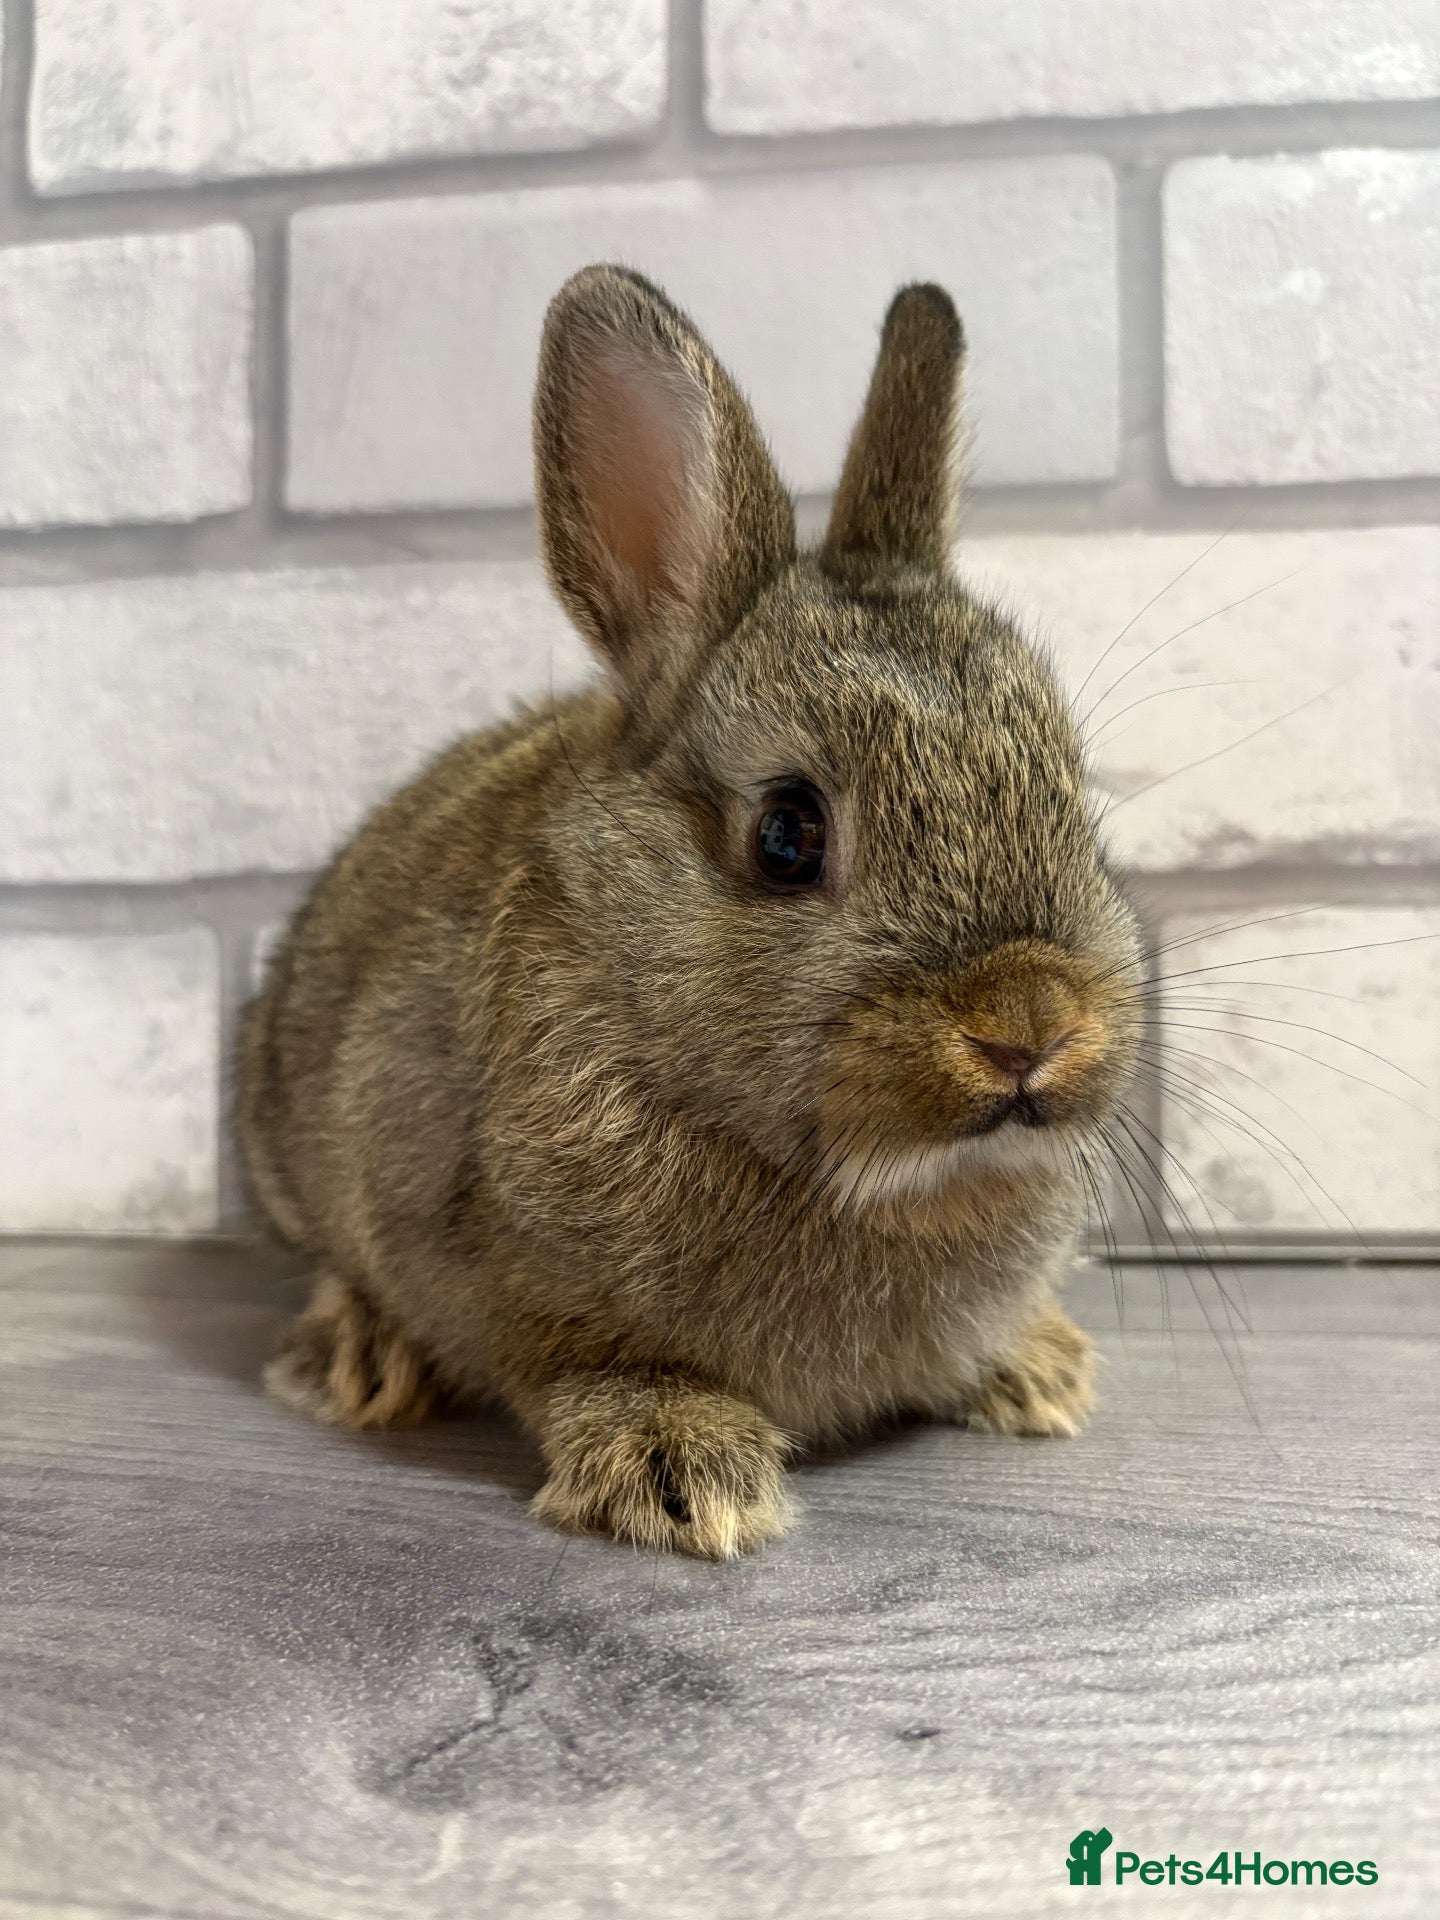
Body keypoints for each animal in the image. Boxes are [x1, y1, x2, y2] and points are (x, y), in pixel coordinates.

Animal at [238, 263, 1143, 1558]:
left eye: (1077, 794)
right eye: (788, 833)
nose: (1030, 1027)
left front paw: (1037, 1369)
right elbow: (585, 1361)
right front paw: (677, 1464)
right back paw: (358, 1359)